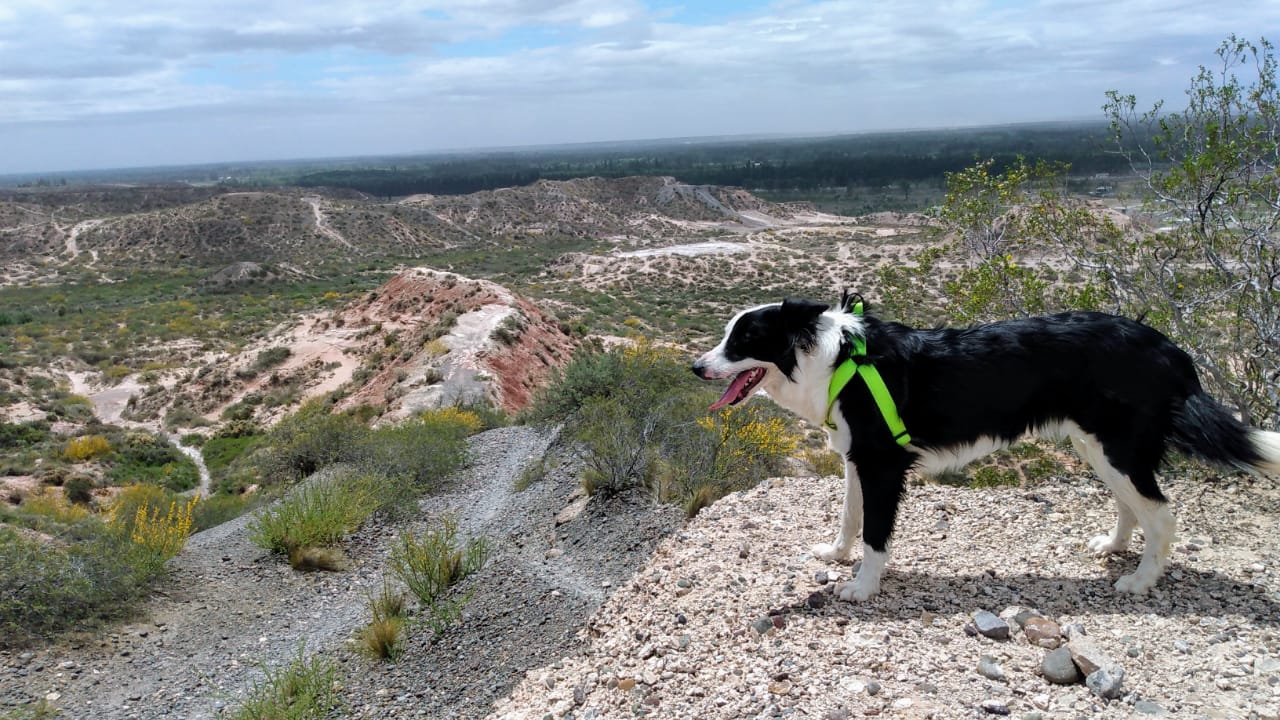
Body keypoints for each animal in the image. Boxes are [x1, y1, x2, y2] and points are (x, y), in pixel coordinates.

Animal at [696, 292, 1280, 599]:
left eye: (743, 340)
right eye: (726, 335)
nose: (697, 368)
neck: (836, 361)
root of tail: (1171, 350)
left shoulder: (883, 463)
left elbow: (876, 534)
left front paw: (863, 587)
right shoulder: (855, 458)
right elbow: (849, 517)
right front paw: (836, 555)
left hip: (1118, 448)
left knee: (1162, 514)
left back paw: (1140, 579)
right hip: (1097, 447)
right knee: (1131, 504)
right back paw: (1114, 549)